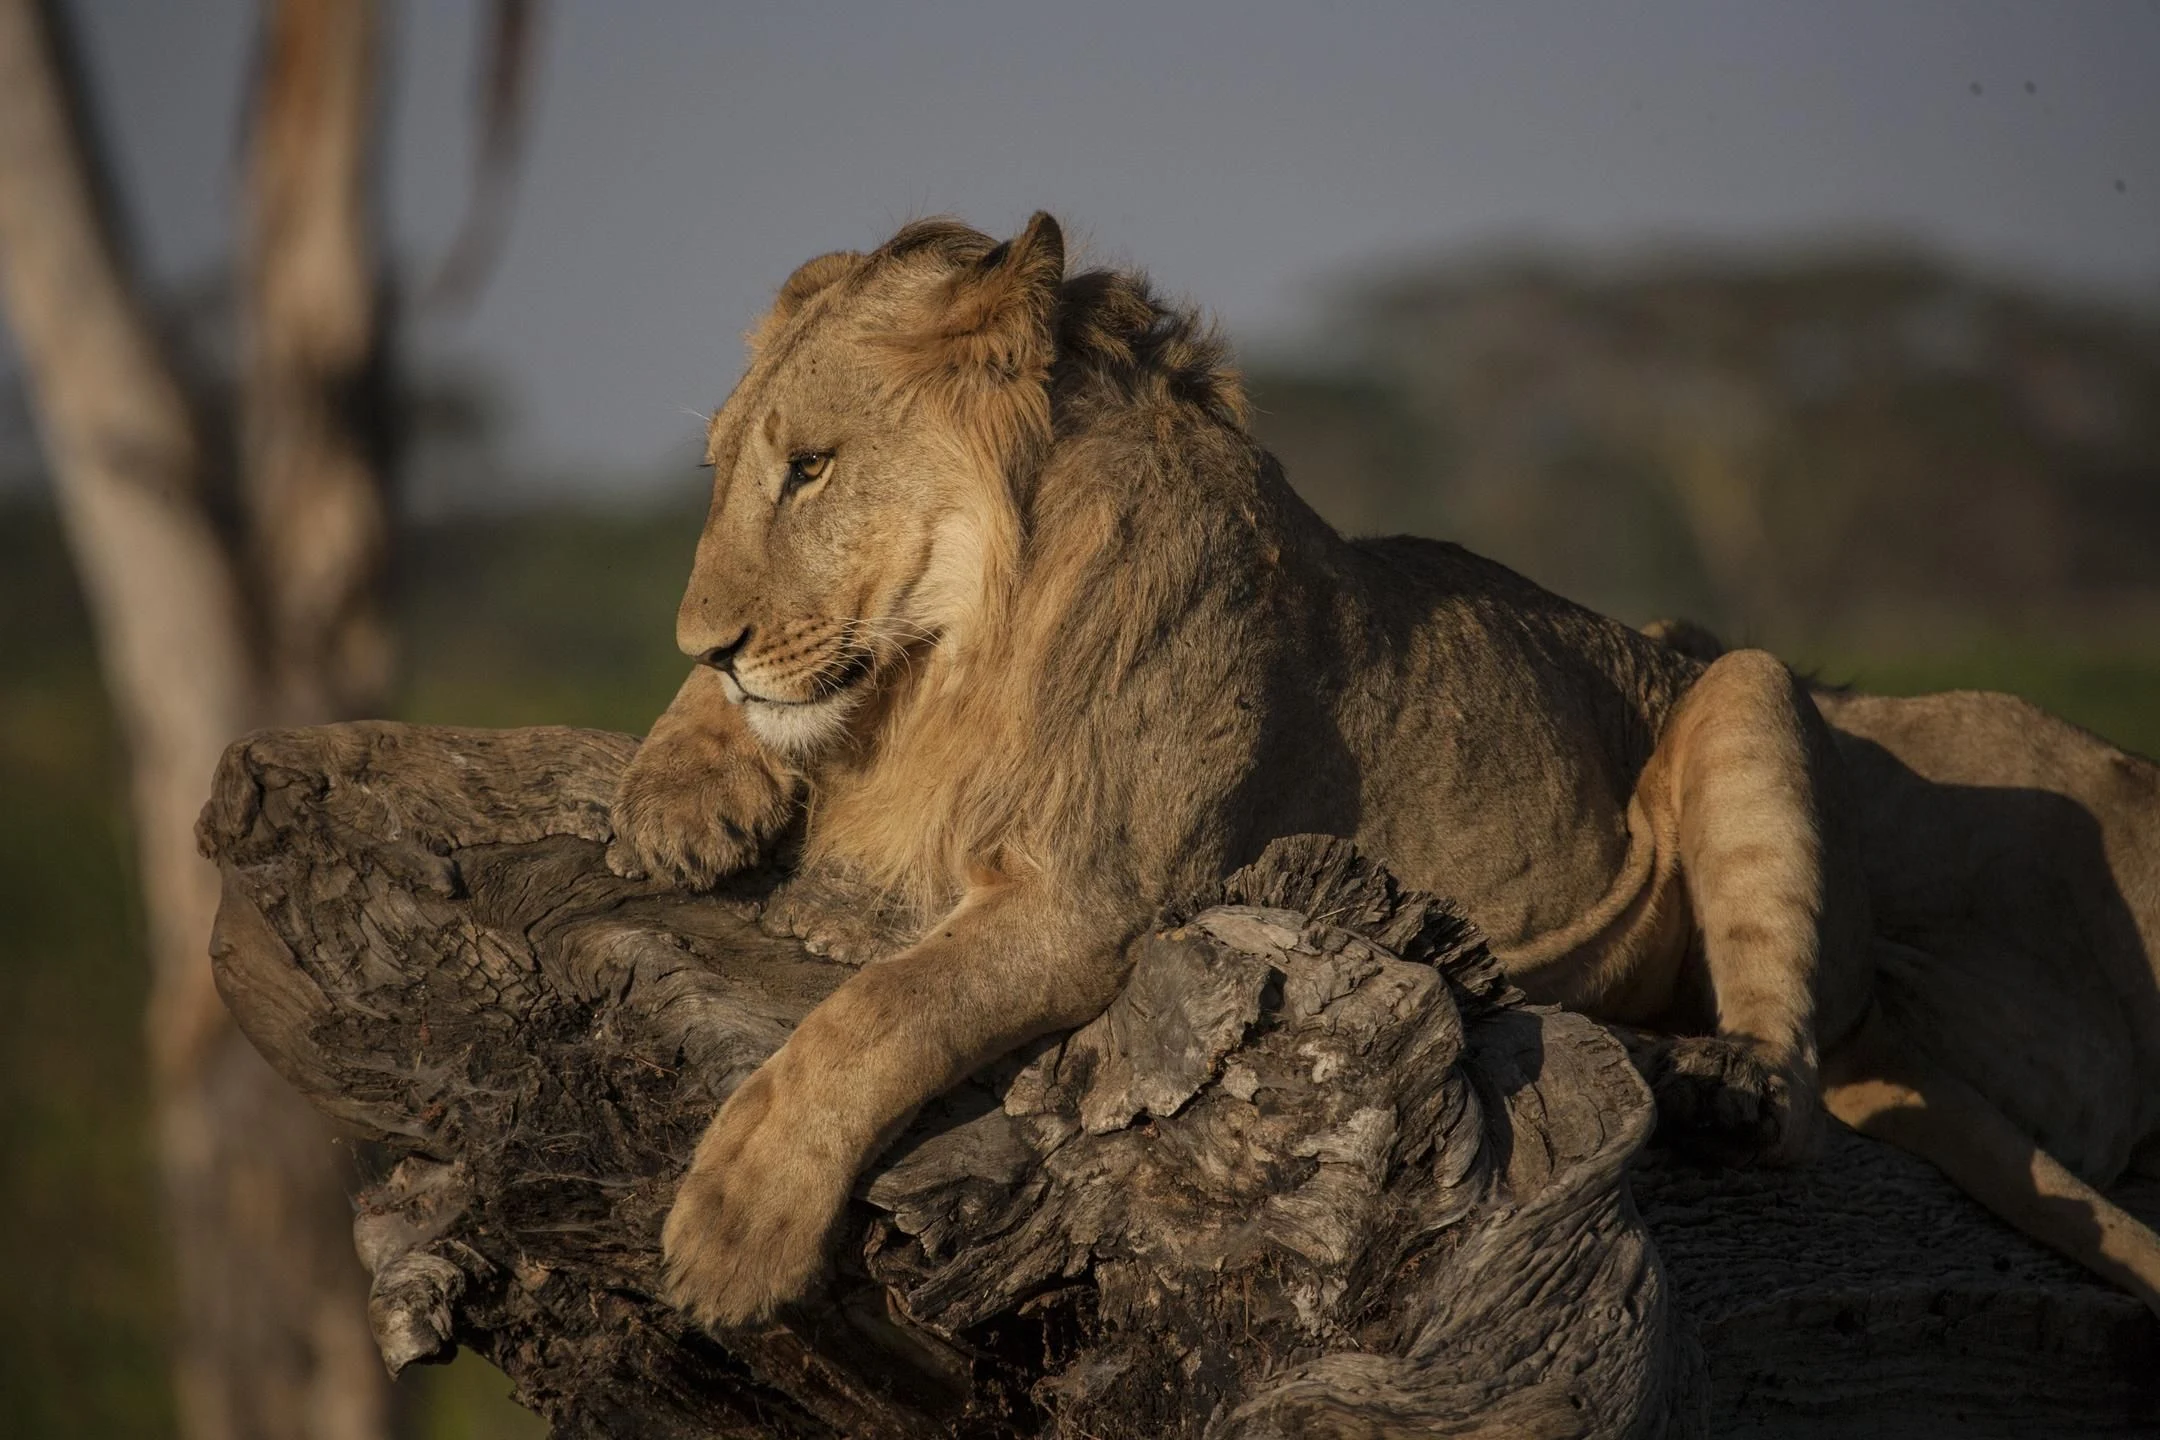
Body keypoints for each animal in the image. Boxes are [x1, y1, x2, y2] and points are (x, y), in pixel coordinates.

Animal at [608, 213, 2160, 1328]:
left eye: (812, 467)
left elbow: (883, 1013)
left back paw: (1718, 1081)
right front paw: (680, 791)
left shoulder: (1098, 897)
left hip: (1742, 682)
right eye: (723, 470)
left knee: (1800, 1108)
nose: (706, 638)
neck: (955, 652)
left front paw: (733, 1230)